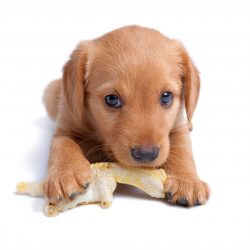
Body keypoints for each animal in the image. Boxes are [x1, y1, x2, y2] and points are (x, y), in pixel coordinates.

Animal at [42, 25, 209, 206]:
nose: (146, 154)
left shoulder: (178, 126)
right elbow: (62, 144)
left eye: (166, 96)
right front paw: (65, 174)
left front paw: (187, 181)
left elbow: (182, 151)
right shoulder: (66, 125)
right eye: (112, 99)